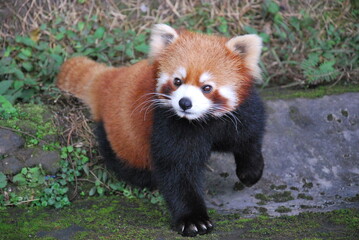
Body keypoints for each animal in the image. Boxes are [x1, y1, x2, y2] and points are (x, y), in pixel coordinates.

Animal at [57, 23, 266, 237]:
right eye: (177, 81)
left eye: (207, 87)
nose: (185, 103)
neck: (203, 121)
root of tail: (110, 79)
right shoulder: (168, 125)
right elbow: (178, 170)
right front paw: (193, 220)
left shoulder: (239, 114)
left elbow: (249, 137)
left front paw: (251, 172)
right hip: (121, 142)